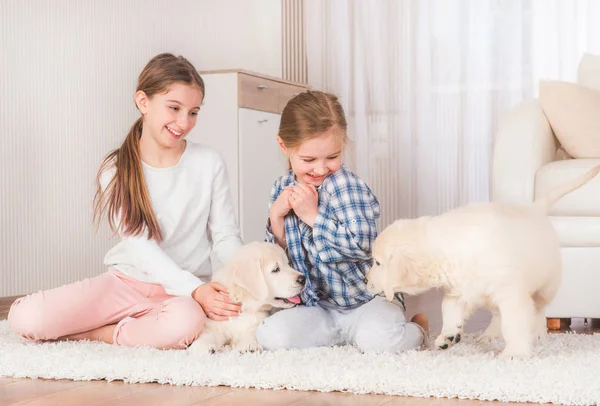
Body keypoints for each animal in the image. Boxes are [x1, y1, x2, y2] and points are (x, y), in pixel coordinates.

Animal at [366, 165, 600, 358]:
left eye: (377, 263)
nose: (366, 281)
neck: (449, 246)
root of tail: (535, 208)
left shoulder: (511, 293)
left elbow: (514, 323)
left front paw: (516, 353)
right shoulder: (457, 290)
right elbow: (447, 309)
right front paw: (448, 336)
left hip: (546, 283)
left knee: (539, 308)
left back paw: (539, 333)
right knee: (497, 315)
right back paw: (489, 335)